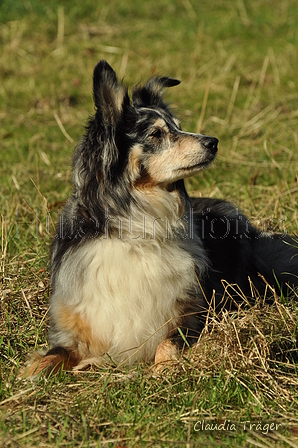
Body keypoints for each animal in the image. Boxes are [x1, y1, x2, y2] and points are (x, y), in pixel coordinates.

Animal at [22, 59, 298, 374]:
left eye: (179, 127)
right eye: (156, 134)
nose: (213, 141)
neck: (138, 224)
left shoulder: (192, 316)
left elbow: (167, 344)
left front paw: (163, 372)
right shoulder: (71, 326)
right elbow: (47, 358)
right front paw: (29, 377)